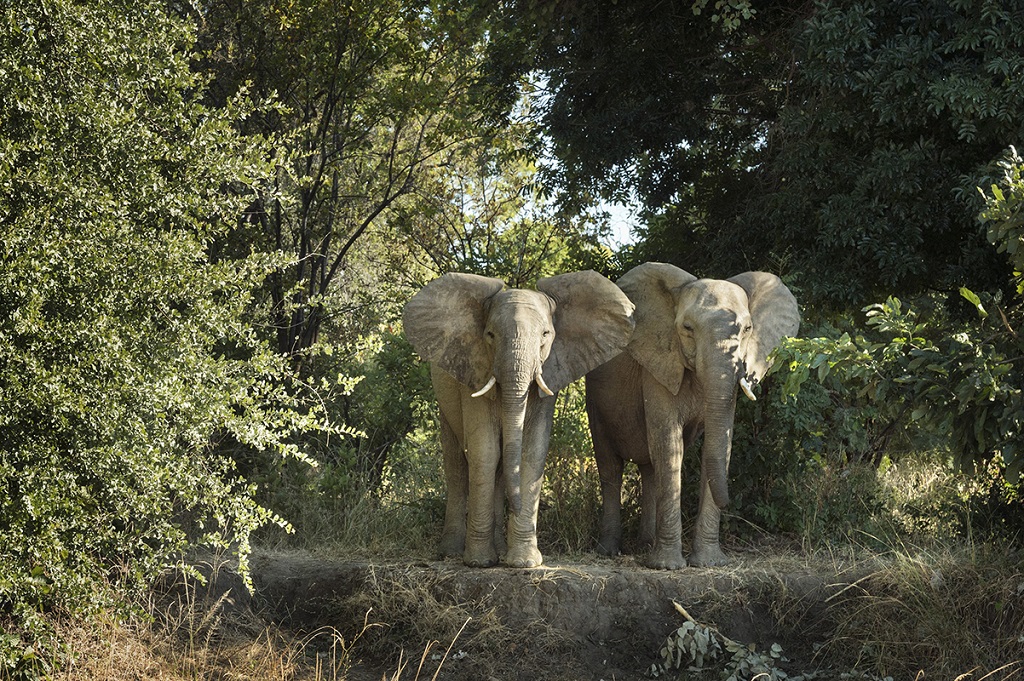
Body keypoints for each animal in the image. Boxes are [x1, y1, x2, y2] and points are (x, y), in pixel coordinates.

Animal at [403, 268, 634, 565]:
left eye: (546, 334)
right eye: (490, 335)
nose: (518, 506)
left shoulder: (550, 371)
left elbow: (531, 451)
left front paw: (524, 563)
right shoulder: (475, 368)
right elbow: (485, 451)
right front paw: (478, 562)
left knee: (502, 466)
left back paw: (500, 550)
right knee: (457, 464)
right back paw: (452, 552)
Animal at [585, 261, 798, 569]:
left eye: (748, 329)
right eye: (687, 328)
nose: (732, 504)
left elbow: (719, 443)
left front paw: (709, 563)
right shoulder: (658, 366)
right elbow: (668, 442)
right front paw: (667, 567)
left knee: (650, 469)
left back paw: (645, 545)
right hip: (595, 400)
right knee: (611, 467)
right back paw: (610, 551)